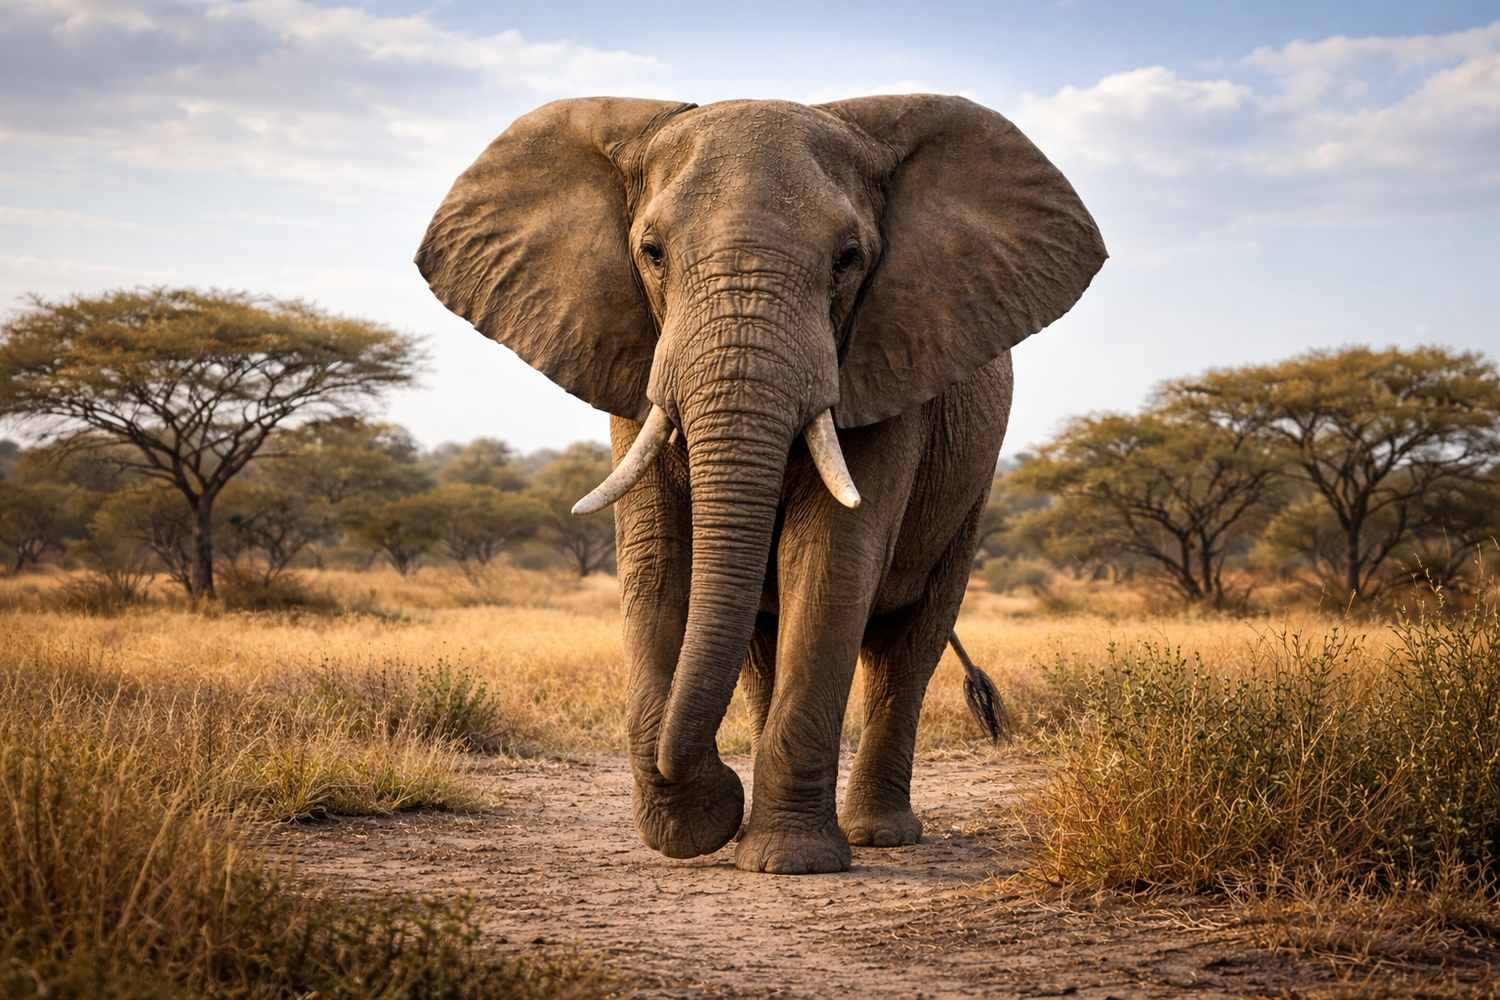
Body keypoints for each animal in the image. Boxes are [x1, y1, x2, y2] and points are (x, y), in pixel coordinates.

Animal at [416, 94, 1105, 874]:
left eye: (847, 260)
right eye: (652, 254)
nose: (716, 782)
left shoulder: (885, 366)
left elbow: (830, 560)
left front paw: (787, 860)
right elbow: (657, 560)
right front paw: (696, 830)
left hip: (972, 488)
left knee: (908, 647)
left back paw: (879, 835)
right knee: (763, 646)